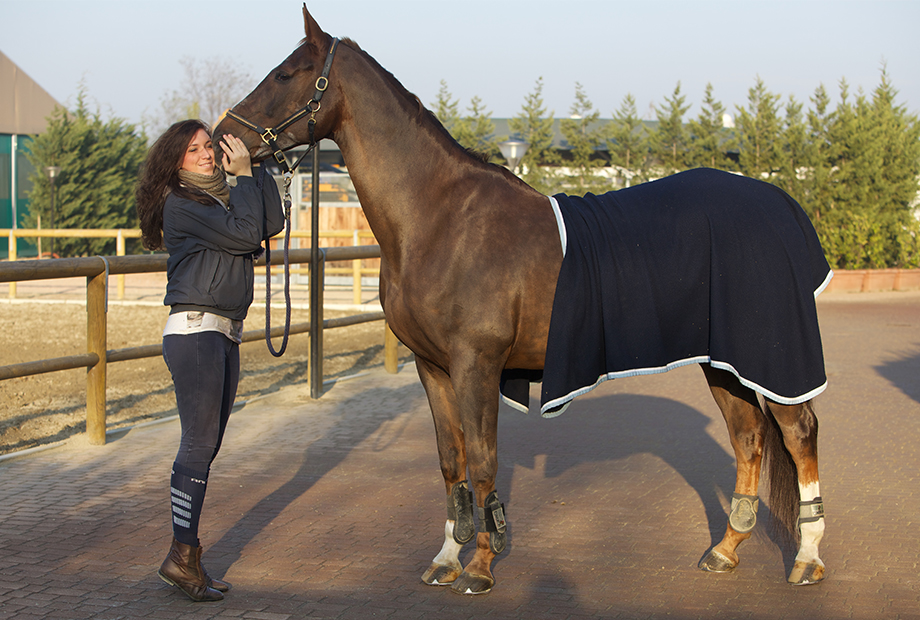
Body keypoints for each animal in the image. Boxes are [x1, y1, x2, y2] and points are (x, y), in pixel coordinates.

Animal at [215, 5, 828, 595]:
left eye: (285, 74)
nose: (223, 141)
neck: (438, 218)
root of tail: (781, 205)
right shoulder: (433, 367)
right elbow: (451, 462)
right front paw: (445, 559)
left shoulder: (478, 365)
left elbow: (485, 463)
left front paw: (482, 567)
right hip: (722, 362)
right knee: (749, 436)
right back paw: (725, 551)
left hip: (768, 355)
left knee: (798, 432)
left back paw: (807, 559)